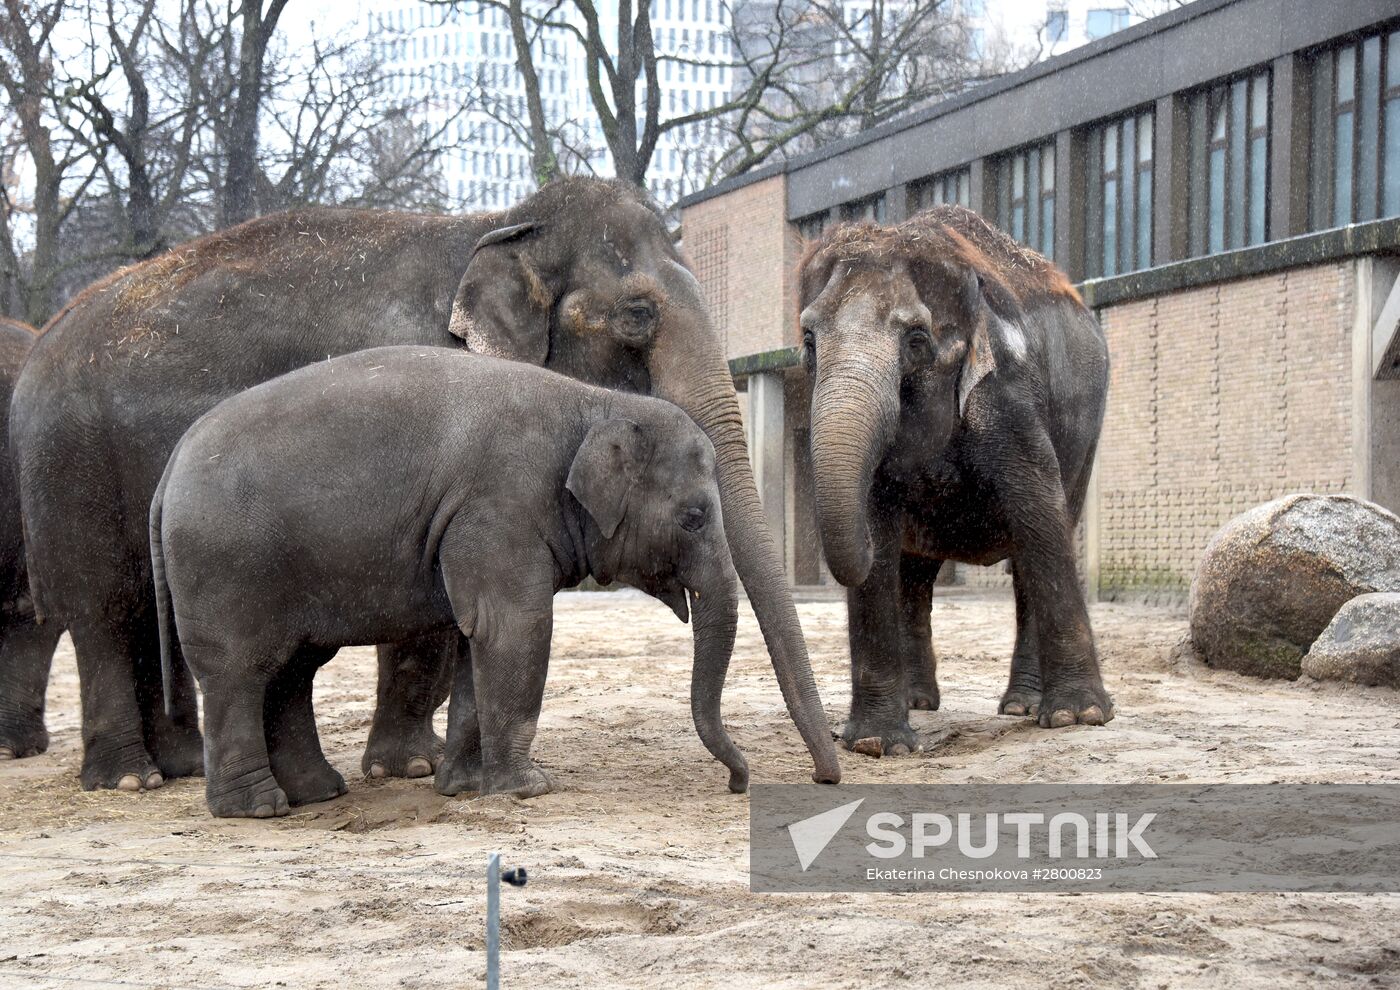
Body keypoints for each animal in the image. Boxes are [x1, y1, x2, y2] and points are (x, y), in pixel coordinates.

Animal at [150, 348, 744, 823]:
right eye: (694, 517)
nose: (738, 783)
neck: (595, 401)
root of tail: (170, 467)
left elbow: (474, 636)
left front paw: (463, 787)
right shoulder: (499, 508)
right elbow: (515, 628)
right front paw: (528, 789)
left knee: (292, 669)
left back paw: (318, 794)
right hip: (224, 566)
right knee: (241, 672)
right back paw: (258, 809)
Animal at [800, 205, 1114, 756]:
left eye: (916, 340)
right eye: (809, 341)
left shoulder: (1008, 393)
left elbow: (1040, 513)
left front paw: (1081, 716)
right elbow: (878, 526)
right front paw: (877, 745)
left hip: (1087, 439)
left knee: (1035, 548)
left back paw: (1023, 707)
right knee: (915, 574)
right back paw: (920, 702)